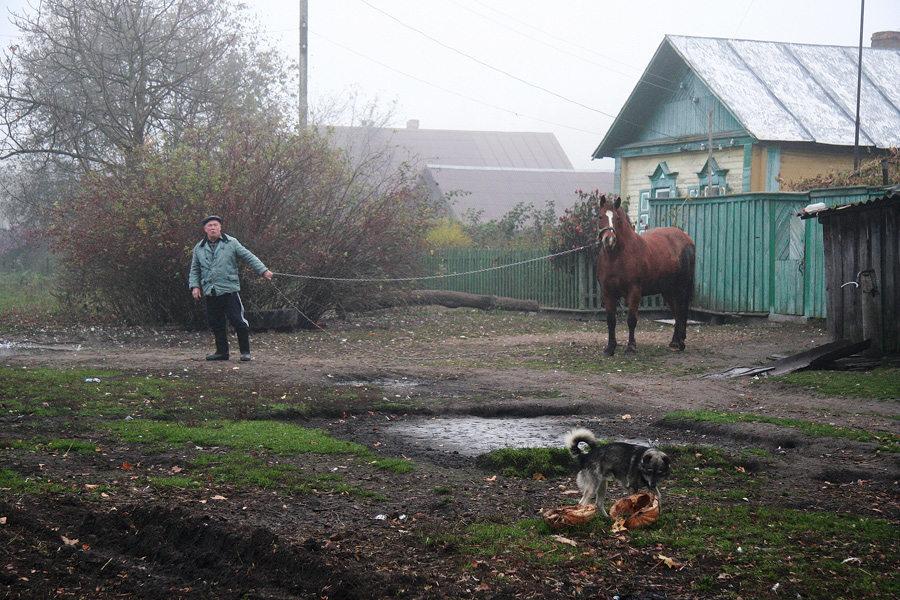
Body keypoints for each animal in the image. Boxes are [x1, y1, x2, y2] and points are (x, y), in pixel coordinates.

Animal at [596, 197, 696, 356]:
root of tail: (686, 239)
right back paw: (675, 342)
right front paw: (610, 348)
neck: (616, 257)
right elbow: (611, 320)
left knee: (680, 311)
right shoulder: (607, 292)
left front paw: (631, 348)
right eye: (600, 217)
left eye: (617, 218)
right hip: (667, 290)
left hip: (680, 287)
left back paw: (676, 343)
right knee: (676, 312)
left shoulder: (634, 291)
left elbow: (631, 320)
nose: (609, 240)